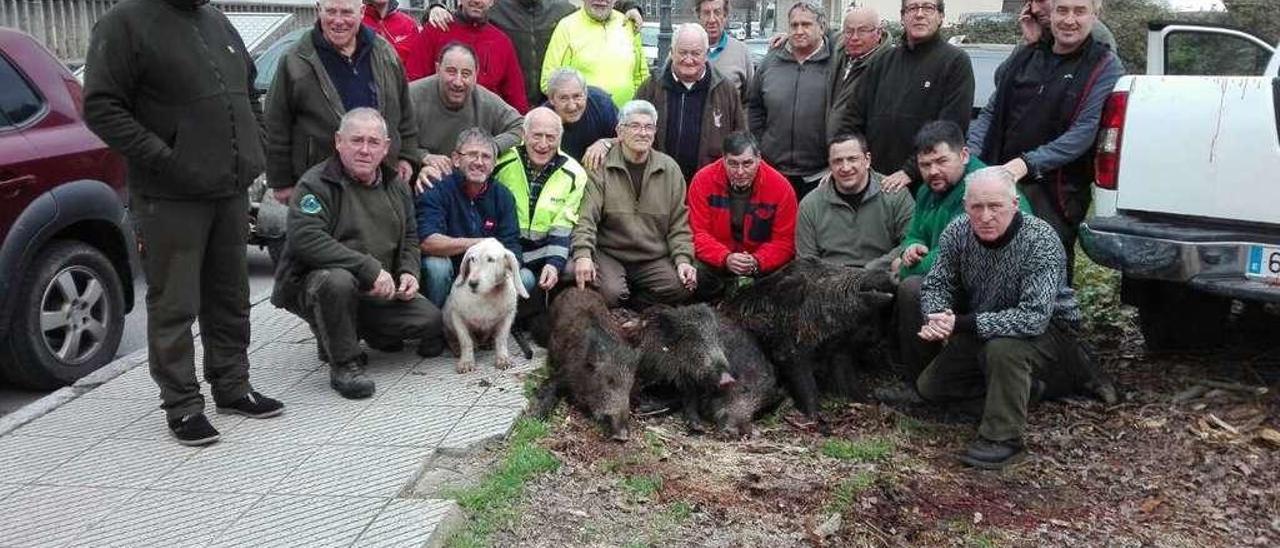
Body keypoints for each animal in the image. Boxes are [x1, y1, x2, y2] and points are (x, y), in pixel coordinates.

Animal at [442, 238, 527, 371]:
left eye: (491, 259)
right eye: (472, 259)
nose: (472, 283)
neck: (486, 296)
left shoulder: (508, 316)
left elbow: (501, 338)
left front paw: (503, 359)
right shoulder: (457, 316)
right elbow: (465, 340)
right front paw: (466, 362)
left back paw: (488, 343)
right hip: (446, 318)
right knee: (450, 336)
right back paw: (457, 348)